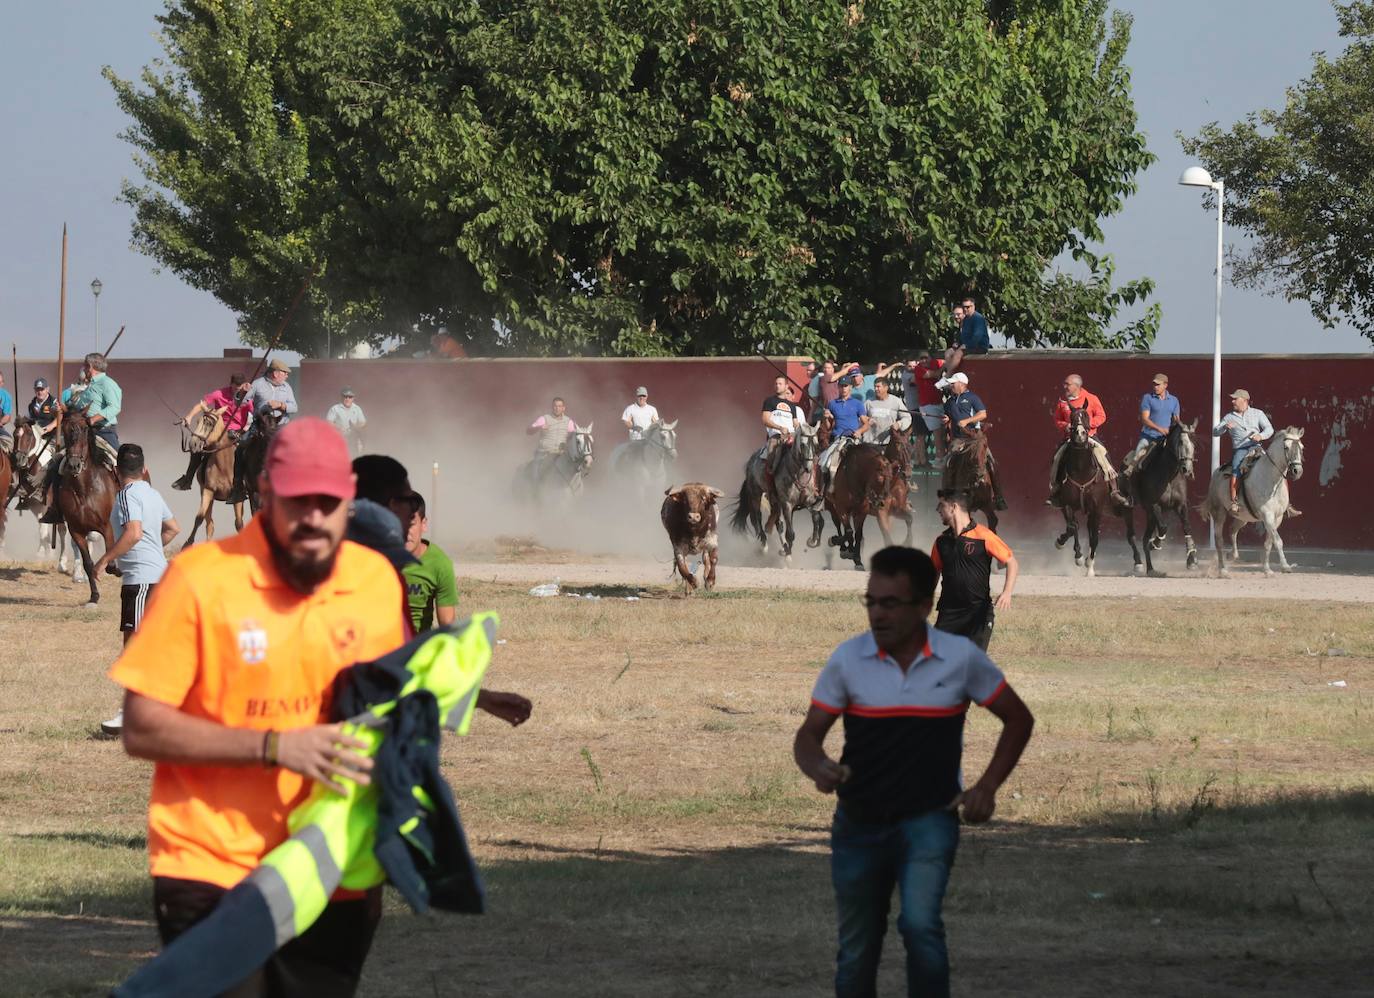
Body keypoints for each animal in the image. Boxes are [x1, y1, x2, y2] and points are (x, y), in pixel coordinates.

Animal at [54, 409, 119, 610]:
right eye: (65, 429)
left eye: (84, 429)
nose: (74, 464)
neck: (85, 489)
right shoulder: (76, 531)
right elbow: (89, 564)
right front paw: (94, 596)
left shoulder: (107, 527)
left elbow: (110, 559)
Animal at [1049, 406, 1115, 577]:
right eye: (1071, 417)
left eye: (1086, 416)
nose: (1080, 434)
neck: (1081, 469)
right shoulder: (1067, 505)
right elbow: (1073, 527)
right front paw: (1078, 556)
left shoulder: (1097, 508)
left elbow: (1095, 536)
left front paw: (1089, 563)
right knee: (1074, 526)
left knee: (1091, 530)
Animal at [1121, 420, 1198, 577]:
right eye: (1181, 442)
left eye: (1194, 443)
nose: (1187, 470)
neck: (1169, 475)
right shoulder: (1154, 505)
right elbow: (1163, 527)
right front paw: (1155, 544)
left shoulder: (1181, 505)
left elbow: (1187, 527)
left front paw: (1191, 559)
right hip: (1130, 508)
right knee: (1132, 536)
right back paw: (1140, 563)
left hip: (1150, 516)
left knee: (1144, 539)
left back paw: (1151, 569)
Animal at [1203, 428, 1308, 577]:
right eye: (1286, 447)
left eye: (1302, 448)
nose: (1297, 471)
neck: (1271, 480)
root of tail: (1216, 473)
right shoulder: (1267, 515)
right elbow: (1278, 540)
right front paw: (1285, 566)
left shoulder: (1277, 518)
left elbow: (1269, 542)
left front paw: (1267, 569)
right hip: (1219, 513)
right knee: (1219, 540)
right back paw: (1223, 569)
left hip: (1243, 517)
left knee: (1233, 530)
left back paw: (1233, 555)